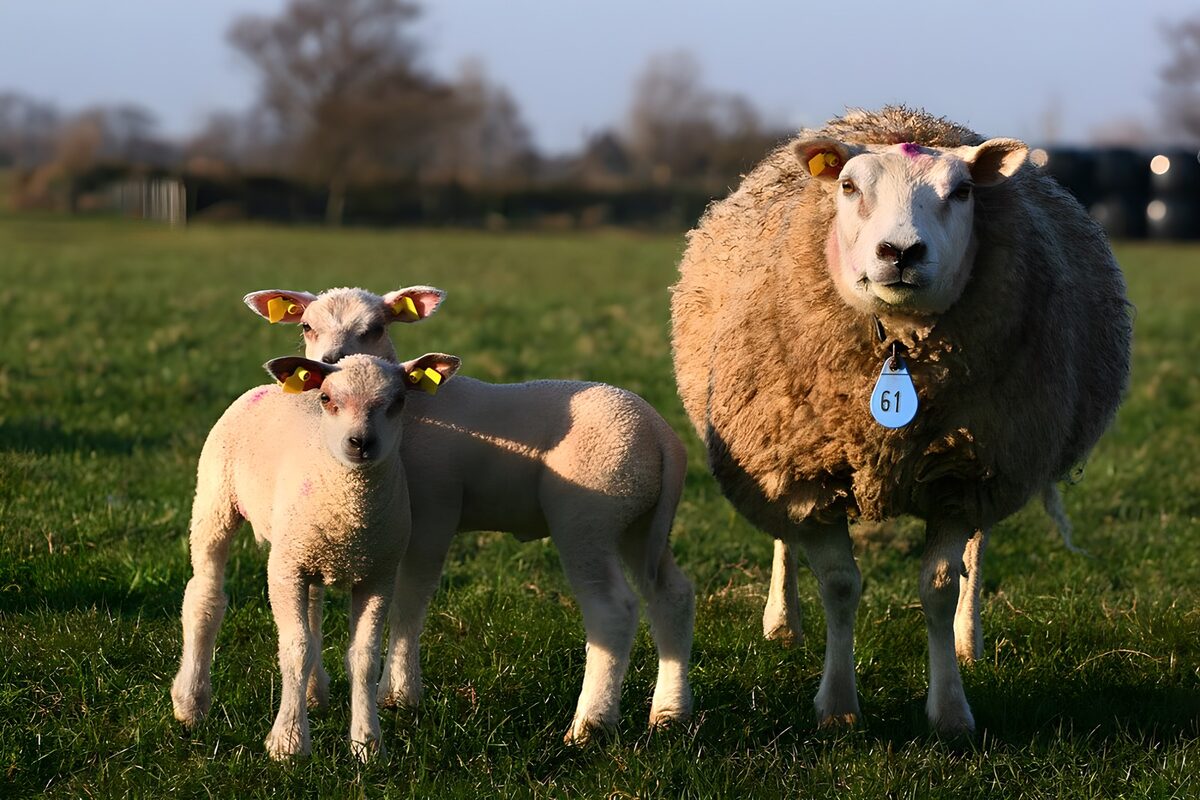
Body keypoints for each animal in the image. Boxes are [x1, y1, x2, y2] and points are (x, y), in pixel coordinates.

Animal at [170, 351, 460, 760]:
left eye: (399, 401)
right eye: (327, 399)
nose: (361, 442)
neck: (351, 512)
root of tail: (268, 387)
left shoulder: (377, 576)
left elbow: (364, 657)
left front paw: (367, 743)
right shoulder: (284, 570)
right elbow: (297, 648)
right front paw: (289, 742)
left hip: (306, 550)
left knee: (311, 610)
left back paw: (312, 693)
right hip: (216, 499)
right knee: (204, 597)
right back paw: (191, 702)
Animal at [243, 286, 695, 743]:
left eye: (374, 329)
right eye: (306, 326)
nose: (329, 361)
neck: (416, 414)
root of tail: (661, 434)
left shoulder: (433, 511)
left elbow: (410, 599)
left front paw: (399, 694)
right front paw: (322, 694)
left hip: (588, 517)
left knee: (612, 611)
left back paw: (589, 725)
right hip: (639, 520)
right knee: (672, 594)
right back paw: (670, 712)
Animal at [669, 106, 1131, 736]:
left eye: (962, 192)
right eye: (848, 187)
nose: (902, 252)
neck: (899, 346)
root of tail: (897, 117)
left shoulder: (964, 477)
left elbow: (939, 587)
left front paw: (951, 711)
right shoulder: (807, 470)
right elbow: (840, 586)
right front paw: (838, 707)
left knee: (975, 556)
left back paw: (967, 640)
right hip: (770, 445)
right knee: (784, 537)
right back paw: (782, 623)